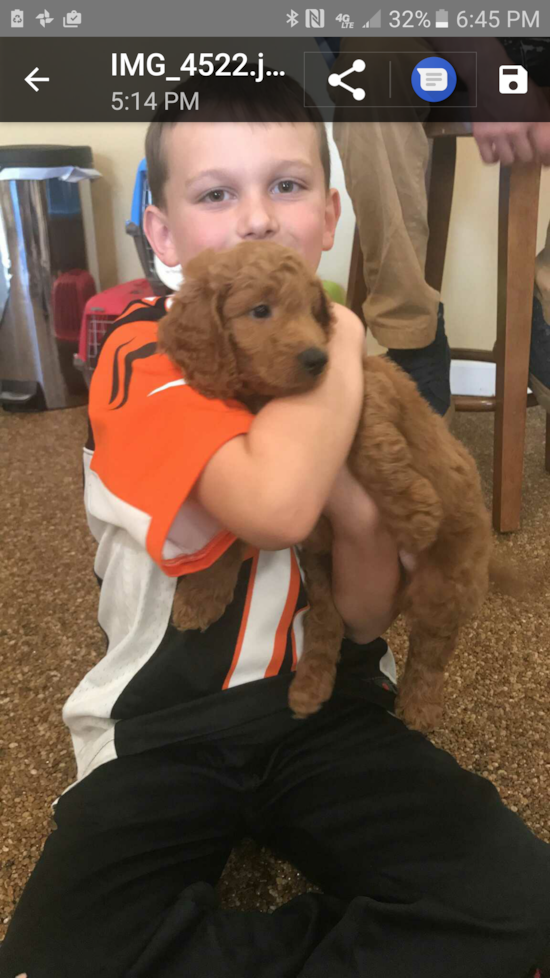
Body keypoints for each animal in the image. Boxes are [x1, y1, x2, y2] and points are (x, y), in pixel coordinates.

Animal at [158, 240, 496, 732]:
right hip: (321, 564)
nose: (318, 359)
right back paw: (310, 686)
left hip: (447, 579)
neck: (266, 398)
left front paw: (415, 512)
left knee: (434, 644)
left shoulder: (367, 386)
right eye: (261, 310)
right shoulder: (258, 473)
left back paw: (420, 704)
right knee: (327, 624)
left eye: (313, 311)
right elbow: (233, 532)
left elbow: (372, 442)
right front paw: (202, 596)